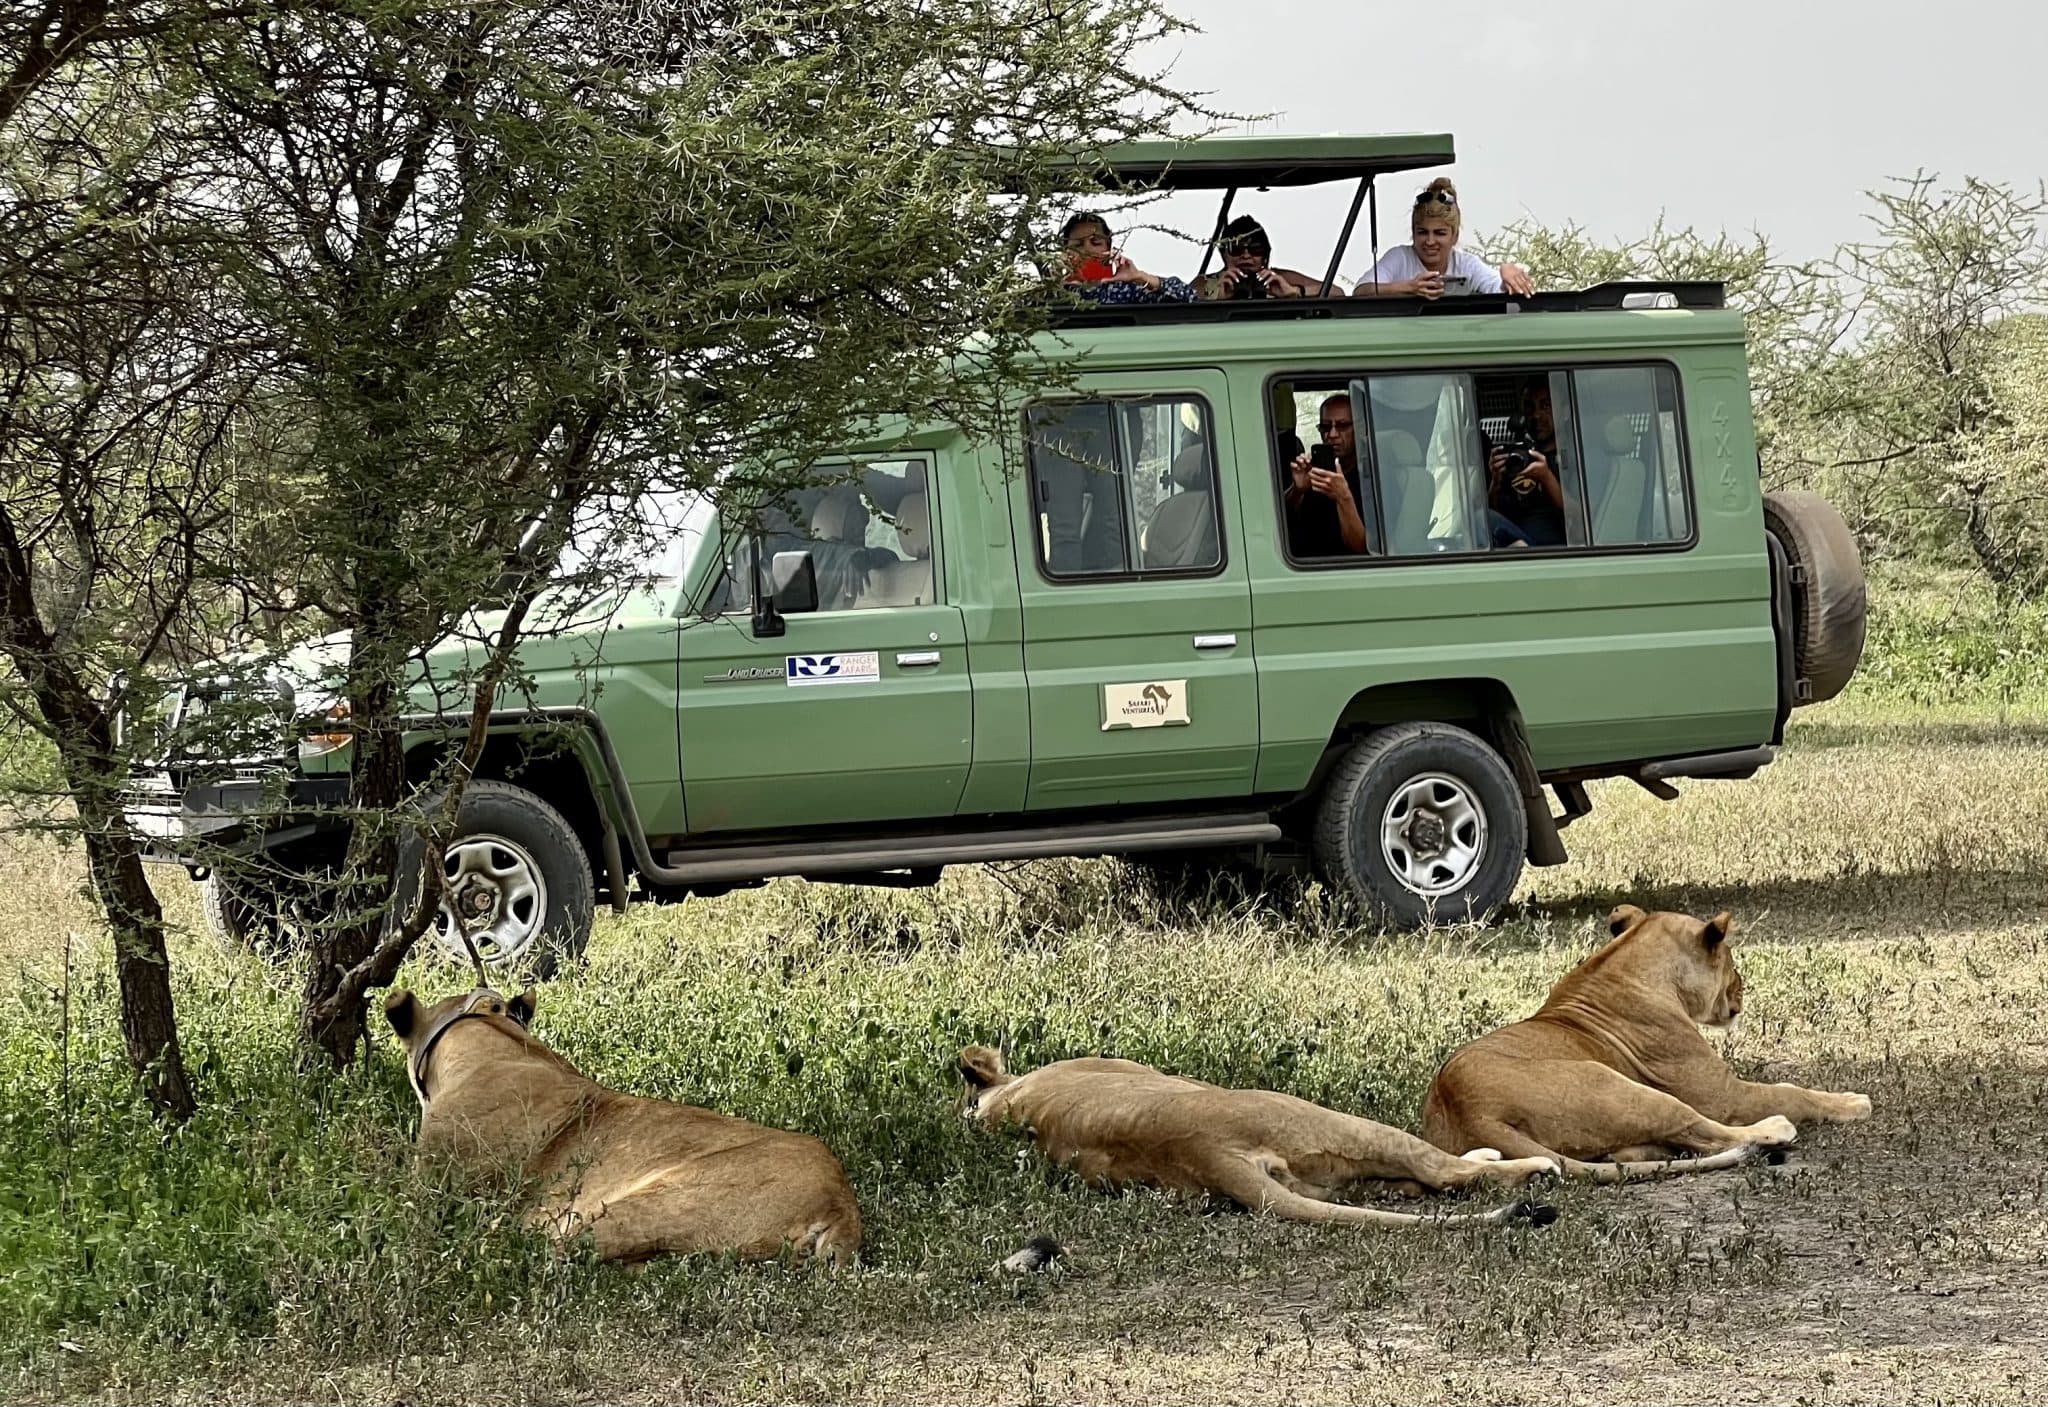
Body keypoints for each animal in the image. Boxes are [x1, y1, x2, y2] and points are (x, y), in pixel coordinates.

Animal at [1422, 905, 1873, 1180]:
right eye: (1732, 964)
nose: (1743, 989)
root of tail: (1470, 1110)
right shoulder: (1724, 1096)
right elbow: (1792, 1092)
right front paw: (1852, 1102)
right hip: (1616, 1085)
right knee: (1711, 1133)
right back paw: (1775, 1129)